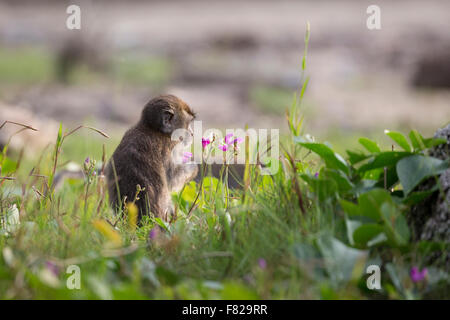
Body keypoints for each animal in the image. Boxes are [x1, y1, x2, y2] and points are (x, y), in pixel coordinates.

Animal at [106, 94, 198, 222]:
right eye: (188, 123)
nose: (192, 133)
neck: (153, 129)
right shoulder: (168, 147)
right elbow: (173, 178)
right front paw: (193, 165)